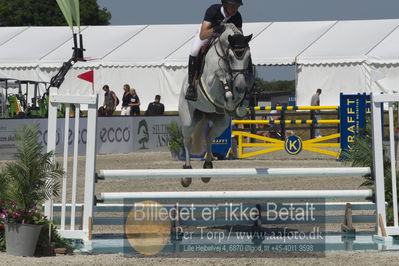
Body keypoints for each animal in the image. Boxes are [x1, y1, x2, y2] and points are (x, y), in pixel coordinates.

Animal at [180, 23, 255, 188]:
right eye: (232, 57)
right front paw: (230, 99)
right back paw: (187, 173)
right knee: (187, 140)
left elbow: (239, 97)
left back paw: (207, 167)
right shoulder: (211, 82)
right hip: (188, 119)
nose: (240, 87)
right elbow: (222, 78)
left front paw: (238, 106)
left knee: (208, 137)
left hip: (221, 123)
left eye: (248, 57)